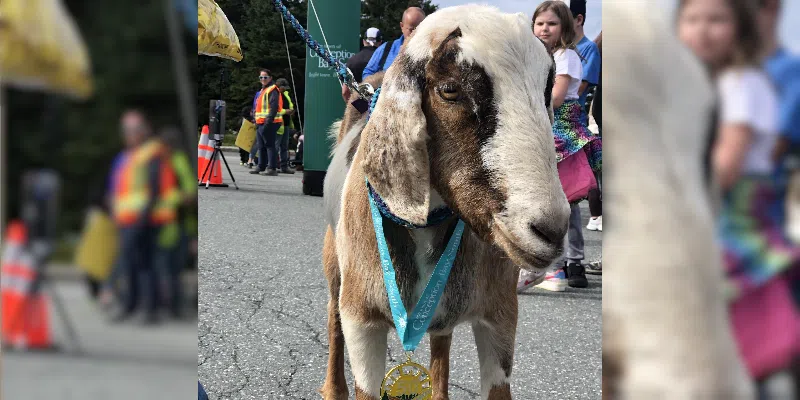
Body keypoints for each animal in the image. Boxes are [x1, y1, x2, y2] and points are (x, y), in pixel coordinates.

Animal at [318, 5, 568, 400]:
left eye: (548, 88)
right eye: (450, 90)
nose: (551, 231)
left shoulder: (501, 314)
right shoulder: (362, 318)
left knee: (441, 342)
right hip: (334, 259)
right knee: (332, 317)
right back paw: (332, 388)